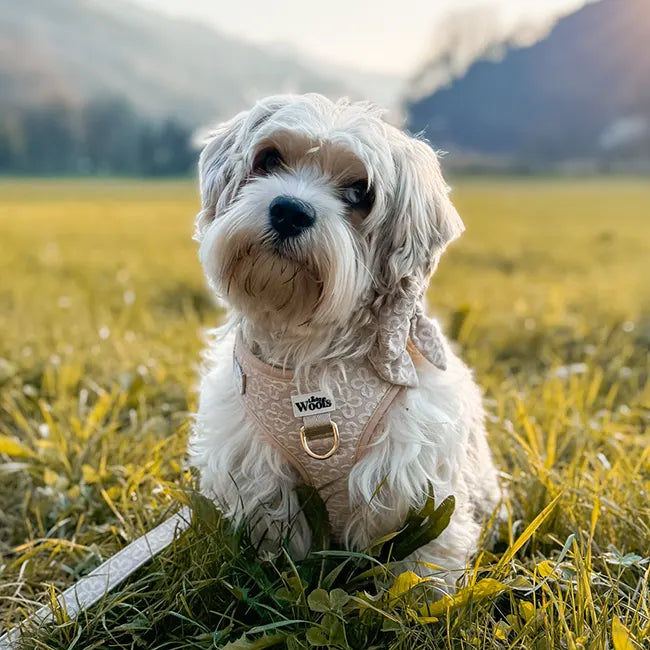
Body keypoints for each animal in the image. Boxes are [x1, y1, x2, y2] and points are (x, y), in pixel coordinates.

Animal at [190, 93, 498, 584]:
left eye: (360, 192)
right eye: (268, 159)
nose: (290, 210)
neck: (308, 353)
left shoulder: (412, 479)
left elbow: (422, 563)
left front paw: (421, 597)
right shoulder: (258, 478)